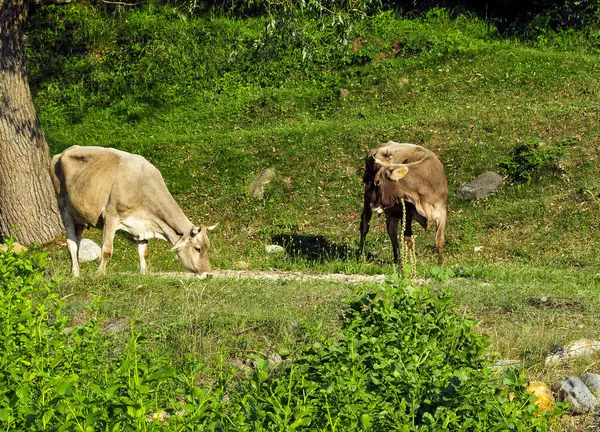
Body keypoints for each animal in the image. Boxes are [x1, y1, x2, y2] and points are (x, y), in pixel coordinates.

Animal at [50, 146, 217, 276]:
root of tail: (63, 152)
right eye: (197, 248)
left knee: (77, 240)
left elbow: (144, 252)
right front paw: (100, 274)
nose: (208, 274)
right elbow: (107, 250)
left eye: (208, 247)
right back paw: (76, 274)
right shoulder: (110, 216)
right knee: (71, 241)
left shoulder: (143, 225)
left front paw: (144, 273)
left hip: (80, 214)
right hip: (63, 207)